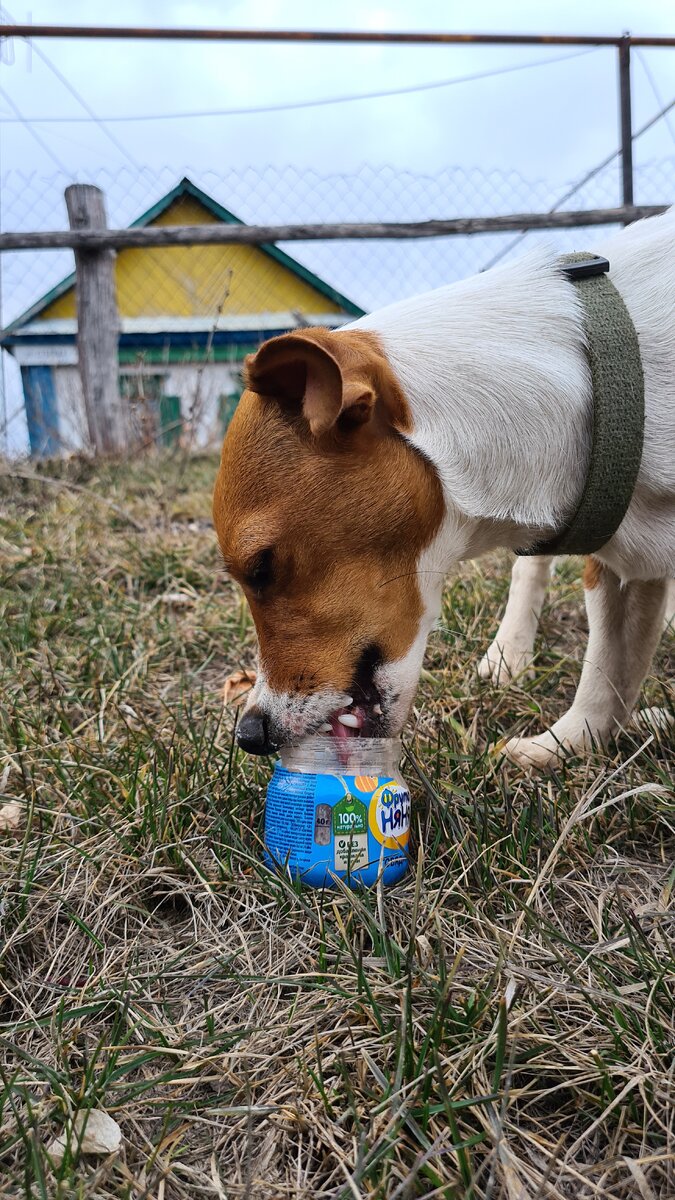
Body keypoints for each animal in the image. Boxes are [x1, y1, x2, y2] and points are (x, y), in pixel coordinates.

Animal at [211, 208, 672, 768]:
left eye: (261, 568)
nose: (250, 735)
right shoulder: (620, 569)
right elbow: (606, 683)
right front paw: (558, 750)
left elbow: (611, 674)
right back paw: (509, 653)